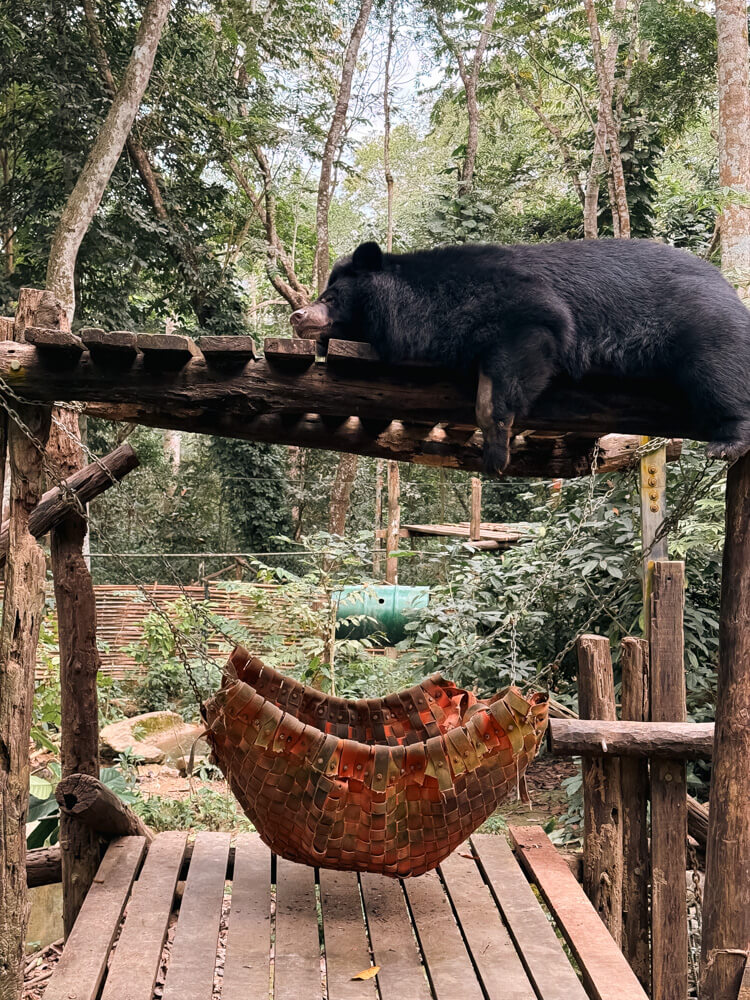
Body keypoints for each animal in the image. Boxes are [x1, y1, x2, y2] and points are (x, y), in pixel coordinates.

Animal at [289, 239, 750, 474]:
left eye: (330, 297)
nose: (297, 316)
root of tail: (727, 286)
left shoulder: (522, 310)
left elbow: (509, 372)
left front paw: (495, 455)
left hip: (703, 322)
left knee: (720, 374)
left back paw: (728, 443)